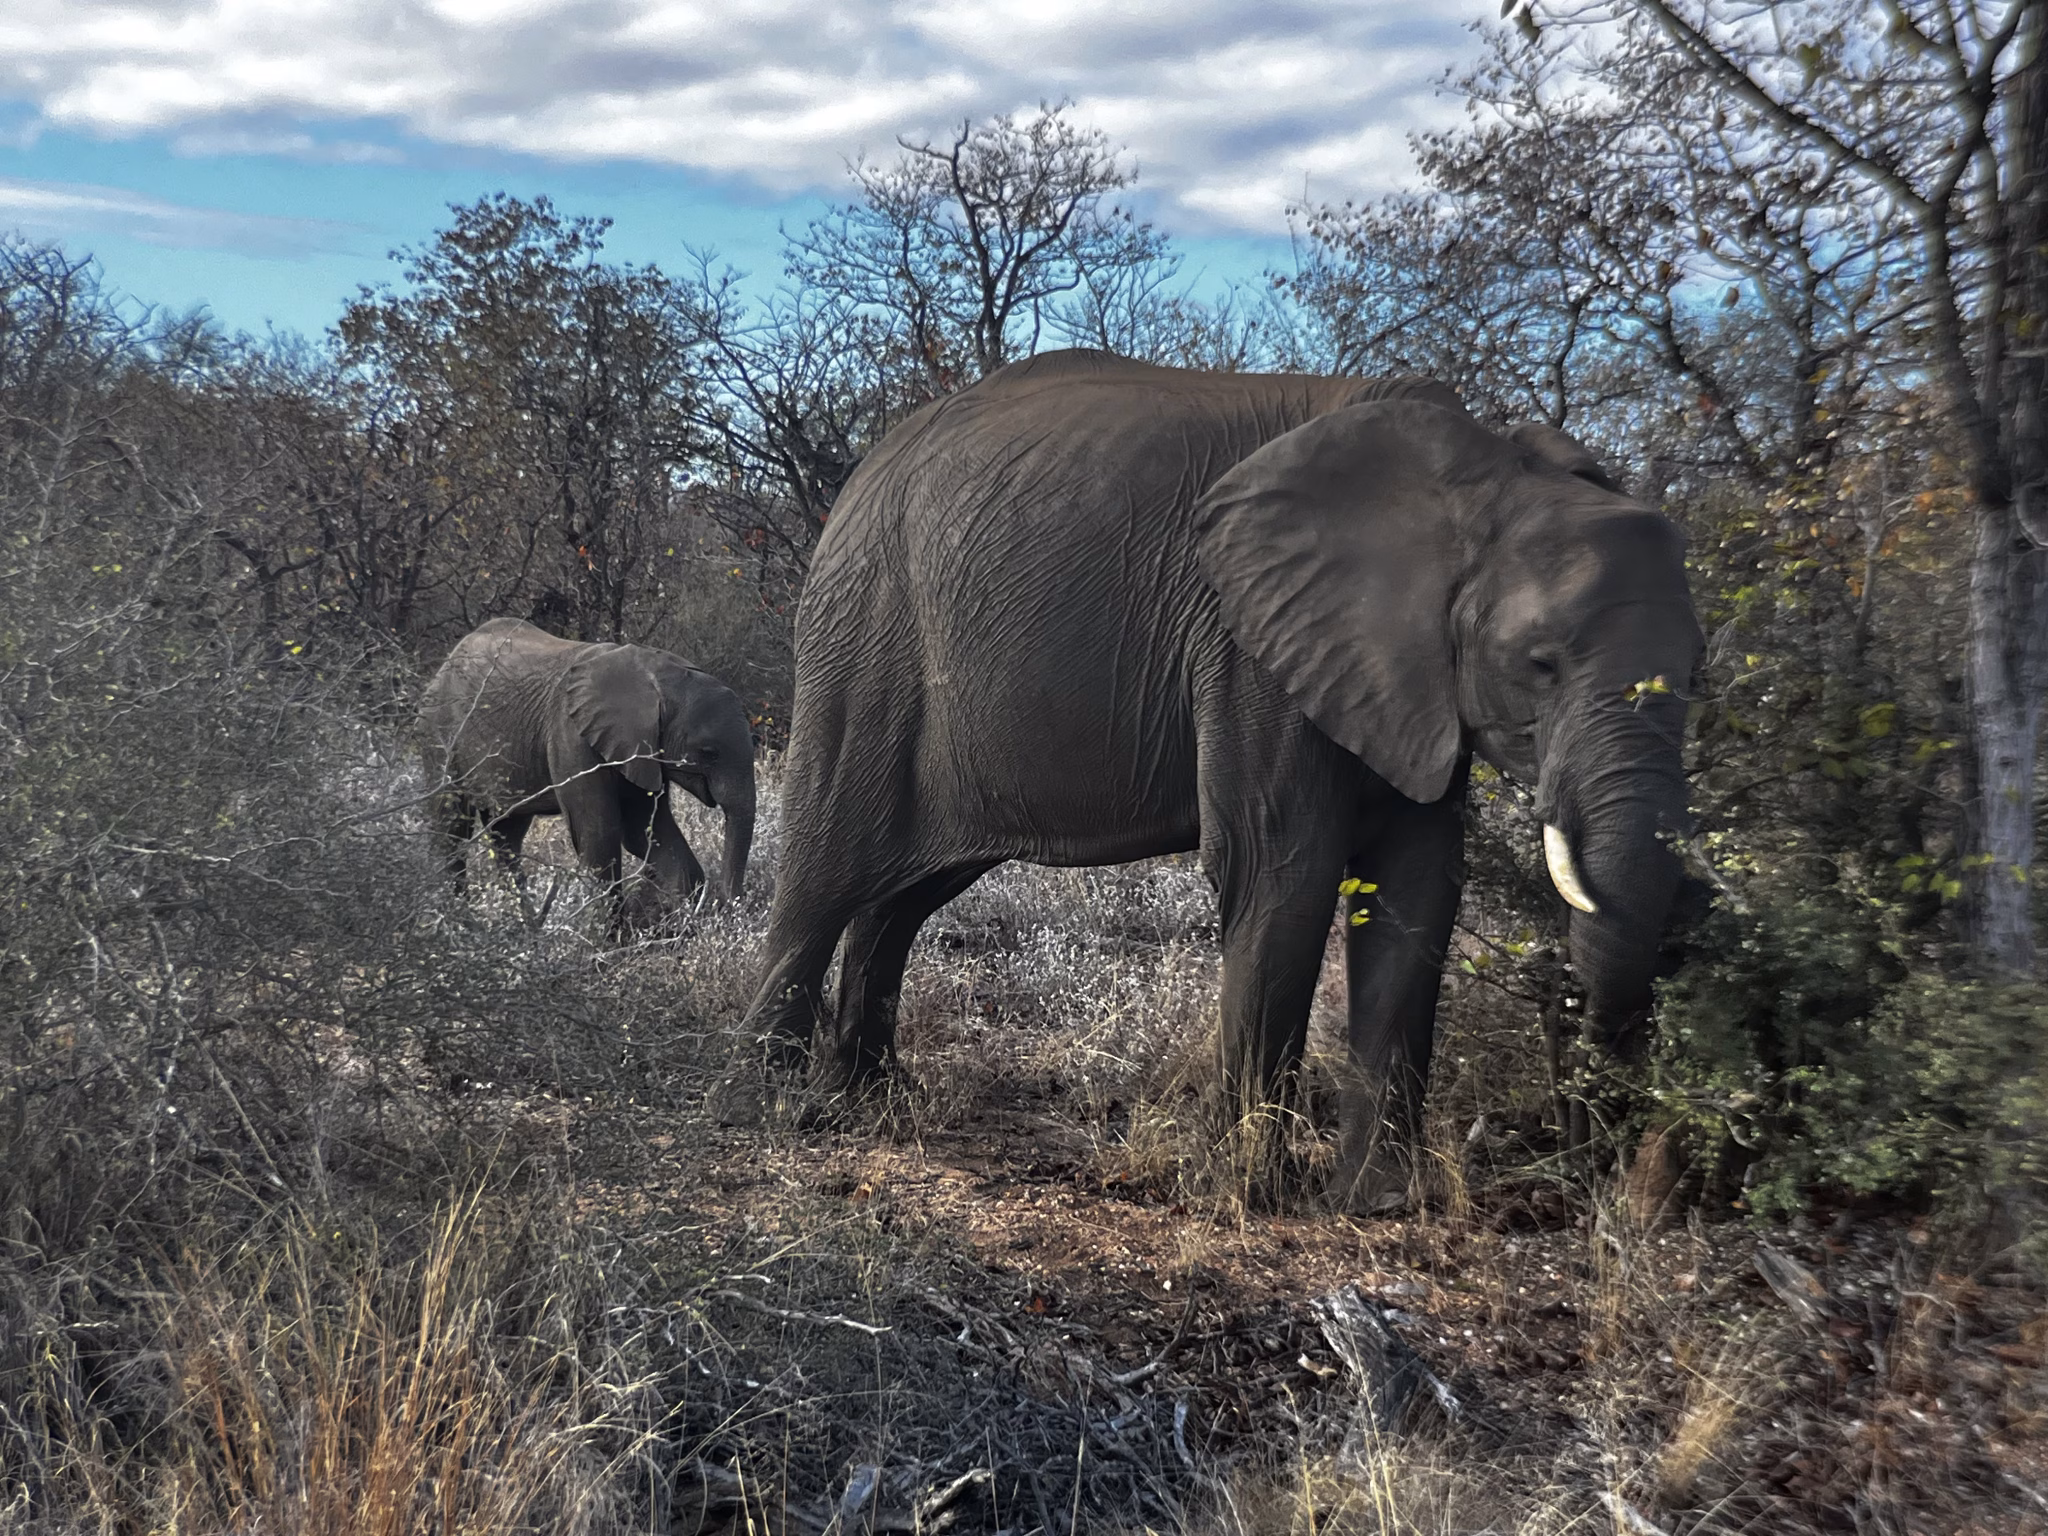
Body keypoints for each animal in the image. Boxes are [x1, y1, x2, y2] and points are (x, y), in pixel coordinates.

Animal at [420, 618, 755, 924]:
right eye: (709, 753)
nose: (728, 908)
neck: (655, 675)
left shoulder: (637, 748)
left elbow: (643, 831)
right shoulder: (571, 736)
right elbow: (600, 835)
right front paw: (609, 944)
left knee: (506, 835)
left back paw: (524, 928)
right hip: (437, 729)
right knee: (452, 827)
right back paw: (460, 922)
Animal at [743, 349, 1702, 1209]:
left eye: (1699, 675)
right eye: (1540, 663)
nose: (1589, 1165)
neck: (1481, 480)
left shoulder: (1402, 675)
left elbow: (1418, 886)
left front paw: (1383, 1204)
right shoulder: (1252, 645)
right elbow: (1284, 869)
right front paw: (1245, 1195)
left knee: (903, 895)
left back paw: (867, 1101)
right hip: (864, 638)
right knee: (825, 873)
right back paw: (762, 1103)